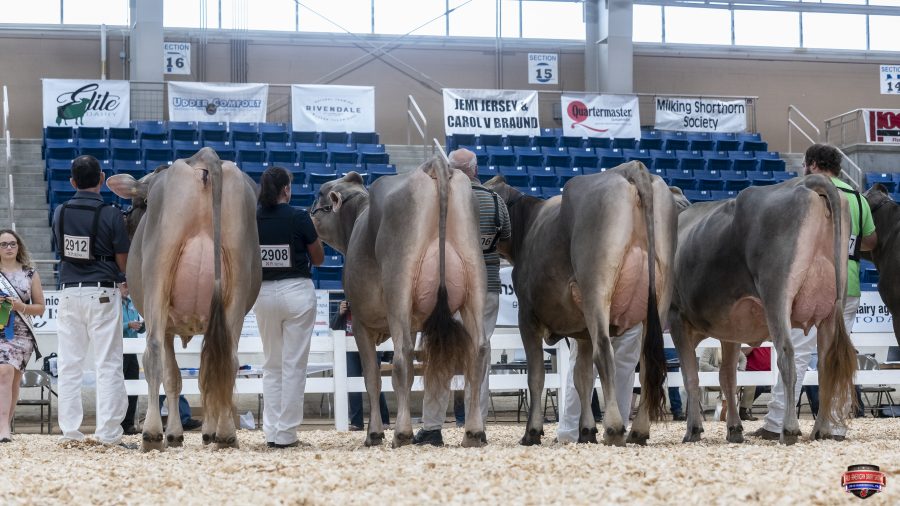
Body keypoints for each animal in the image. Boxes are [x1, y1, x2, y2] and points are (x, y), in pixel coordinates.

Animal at [106, 148, 262, 451]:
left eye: (139, 203)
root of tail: (204, 157)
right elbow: (203, 376)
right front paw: (207, 433)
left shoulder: (167, 325)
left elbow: (173, 378)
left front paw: (175, 434)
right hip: (238, 275)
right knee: (228, 359)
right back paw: (226, 435)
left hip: (158, 271)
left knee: (153, 352)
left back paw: (152, 434)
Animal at [309, 157, 488, 448]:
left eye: (320, 195)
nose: (308, 212)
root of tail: (433, 165)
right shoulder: (414, 322)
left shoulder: (361, 323)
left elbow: (371, 377)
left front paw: (374, 433)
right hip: (475, 278)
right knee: (479, 350)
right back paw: (474, 432)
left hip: (399, 283)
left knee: (402, 356)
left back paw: (402, 433)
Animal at [485, 161, 677, 446]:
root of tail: (631, 168)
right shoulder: (582, 331)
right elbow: (582, 378)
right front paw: (586, 431)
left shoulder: (528, 318)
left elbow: (536, 377)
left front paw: (532, 432)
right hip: (660, 294)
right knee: (646, 364)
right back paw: (639, 431)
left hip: (596, 284)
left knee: (605, 353)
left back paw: (614, 428)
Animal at [670, 174, 857, 445]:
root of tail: (807, 182)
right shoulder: (730, 328)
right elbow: (727, 377)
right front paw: (734, 429)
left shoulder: (677, 317)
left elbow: (691, 376)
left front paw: (693, 429)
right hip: (832, 307)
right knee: (826, 365)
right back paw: (820, 430)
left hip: (776, 293)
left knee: (787, 355)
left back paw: (789, 429)